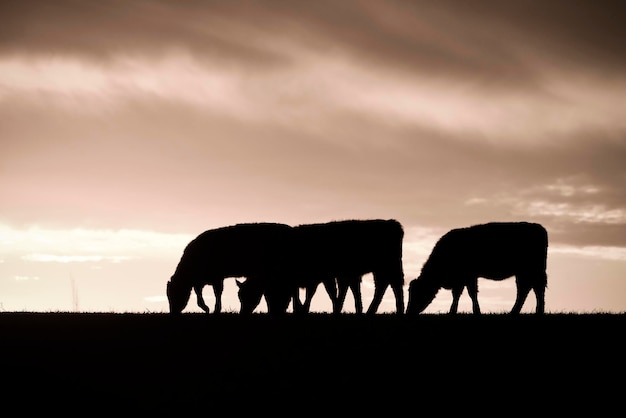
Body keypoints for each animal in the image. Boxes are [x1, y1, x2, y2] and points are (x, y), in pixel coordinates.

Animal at [235, 220, 404, 316]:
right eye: (240, 295)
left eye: (250, 294)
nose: (243, 313)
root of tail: (393, 223)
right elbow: (300, 294)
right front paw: (300, 310)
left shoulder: (321, 276)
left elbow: (324, 293)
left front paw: (306, 309)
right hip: (381, 268)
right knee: (383, 285)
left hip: (389, 265)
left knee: (393, 285)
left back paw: (397, 310)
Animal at [404, 222, 544, 314]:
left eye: (417, 293)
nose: (409, 312)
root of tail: (538, 227)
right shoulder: (461, 279)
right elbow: (458, 295)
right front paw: (454, 311)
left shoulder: (468, 277)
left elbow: (470, 293)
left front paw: (474, 311)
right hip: (524, 272)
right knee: (526, 289)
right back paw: (518, 312)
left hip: (532, 270)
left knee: (534, 288)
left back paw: (534, 311)